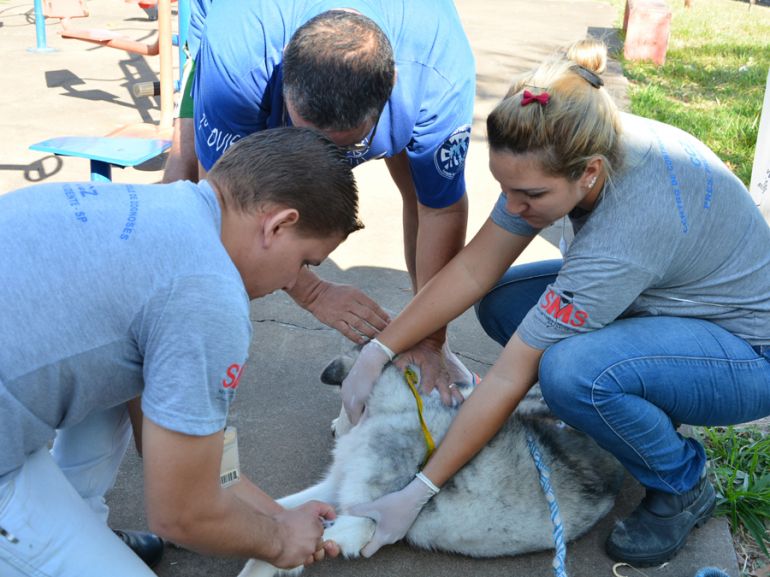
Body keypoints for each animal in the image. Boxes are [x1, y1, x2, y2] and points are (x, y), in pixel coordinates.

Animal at [240, 346, 624, 576]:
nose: (335, 429)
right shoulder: (335, 488)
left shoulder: (364, 520)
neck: (399, 409)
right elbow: (280, 512)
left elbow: (278, 549)